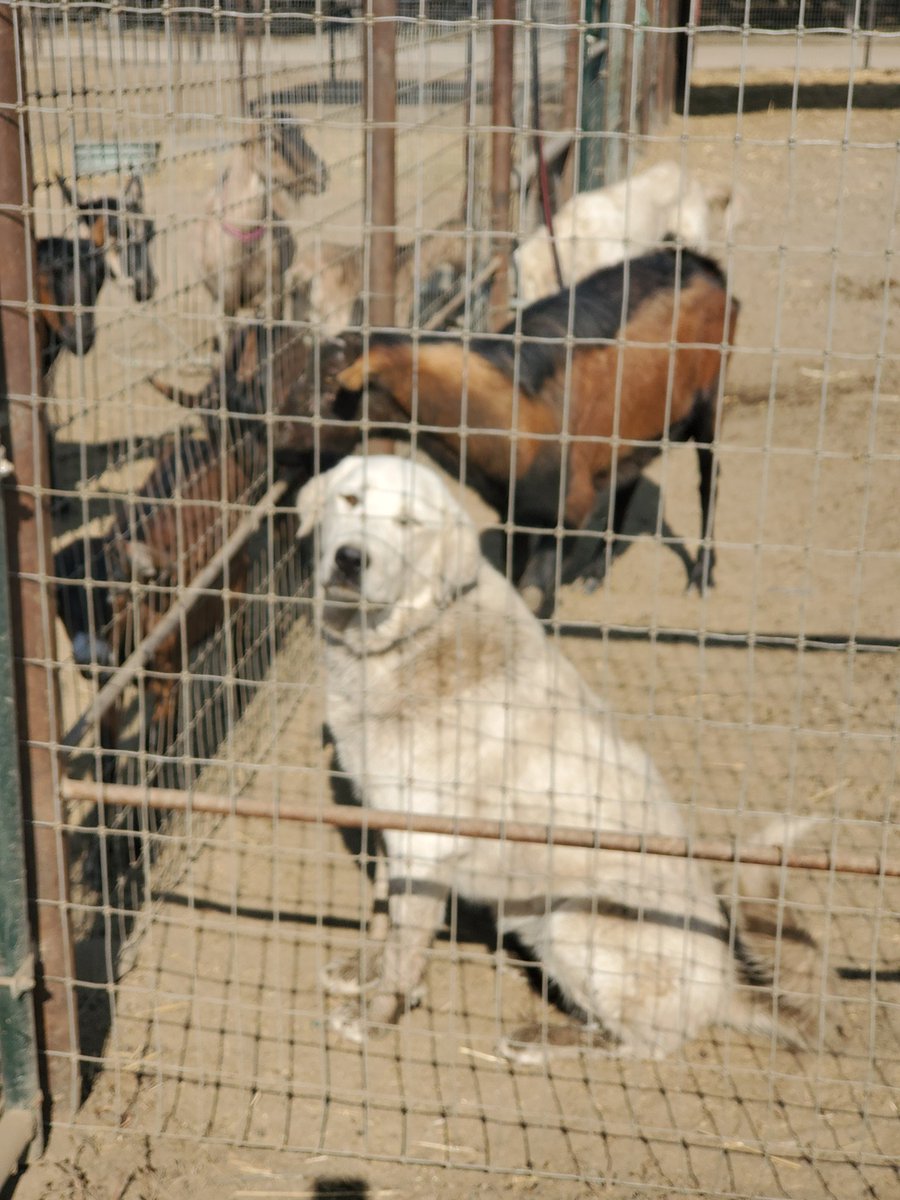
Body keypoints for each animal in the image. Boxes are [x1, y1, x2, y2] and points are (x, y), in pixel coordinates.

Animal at [300, 456, 820, 1060]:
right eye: (351, 500)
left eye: (408, 523)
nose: (350, 558)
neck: (414, 635)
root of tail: (726, 988)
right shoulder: (390, 827)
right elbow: (384, 917)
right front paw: (362, 971)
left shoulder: (425, 845)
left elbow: (406, 953)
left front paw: (377, 1016)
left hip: (572, 920)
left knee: (640, 1043)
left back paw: (540, 1039)